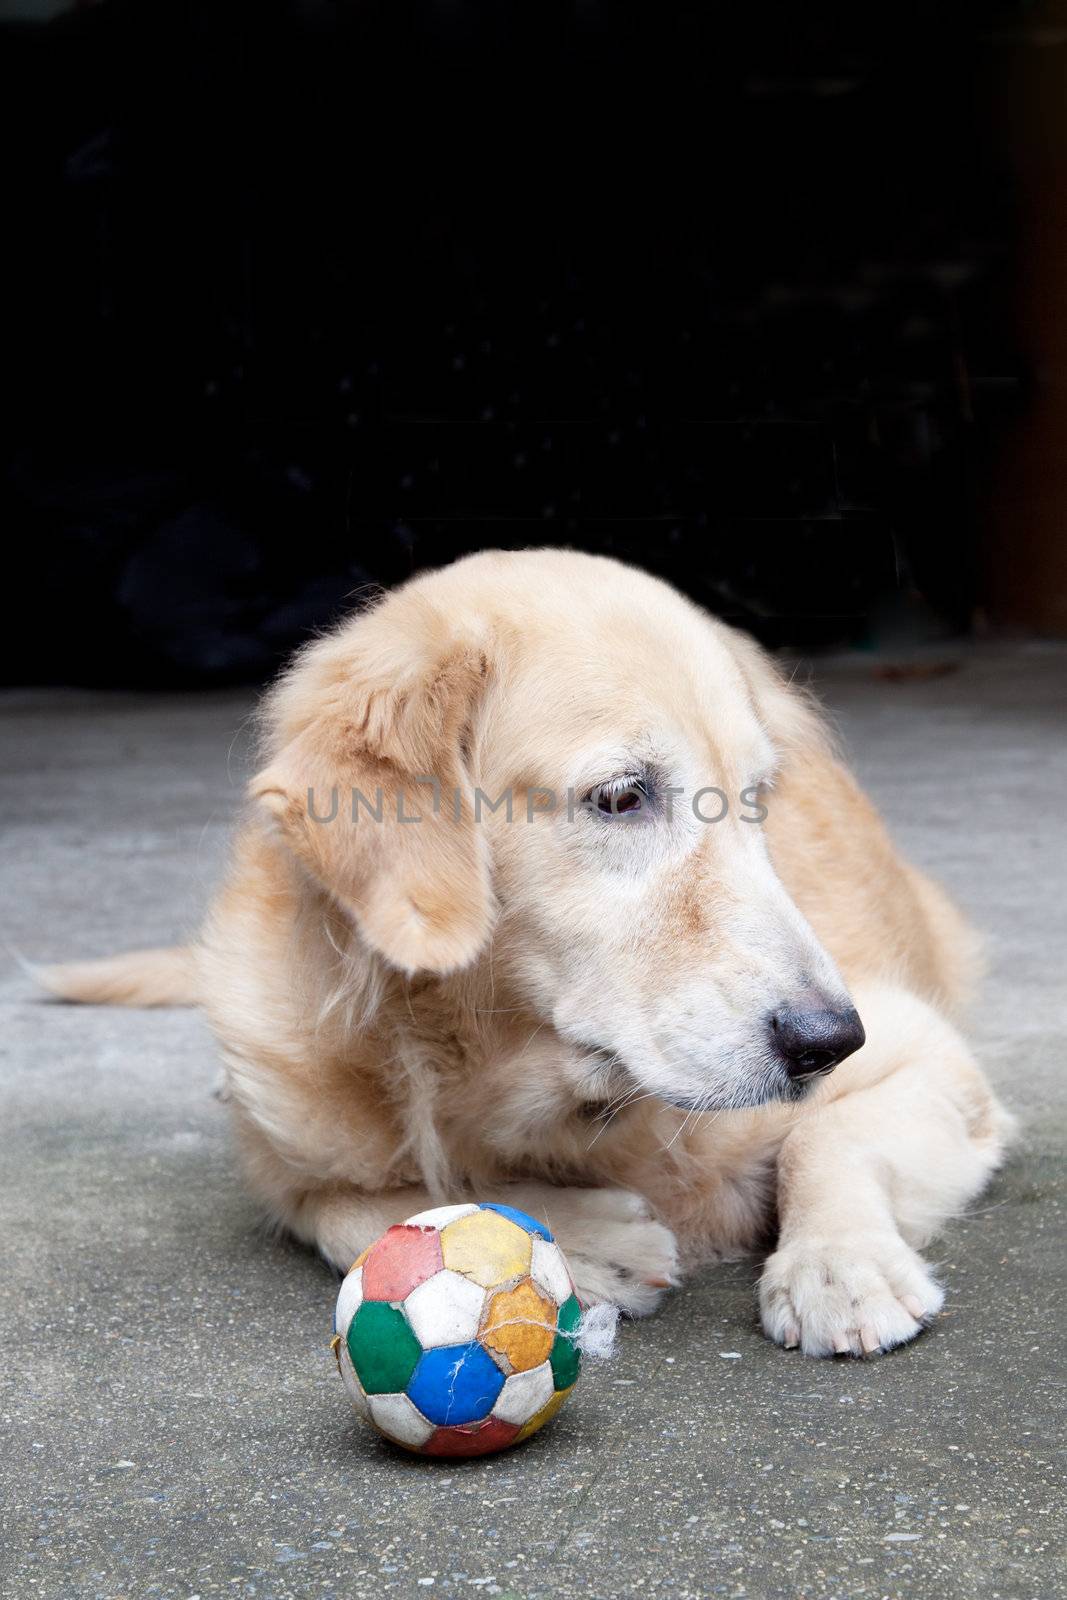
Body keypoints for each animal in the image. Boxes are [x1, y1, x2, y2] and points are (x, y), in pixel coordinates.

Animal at [45, 547, 1017, 1350]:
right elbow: (356, 1208)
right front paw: (581, 1241)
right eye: (621, 797)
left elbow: (826, 1138)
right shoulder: (287, 1163)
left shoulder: (923, 1052)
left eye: (756, 799)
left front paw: (838, 1267)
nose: (827, 1040)